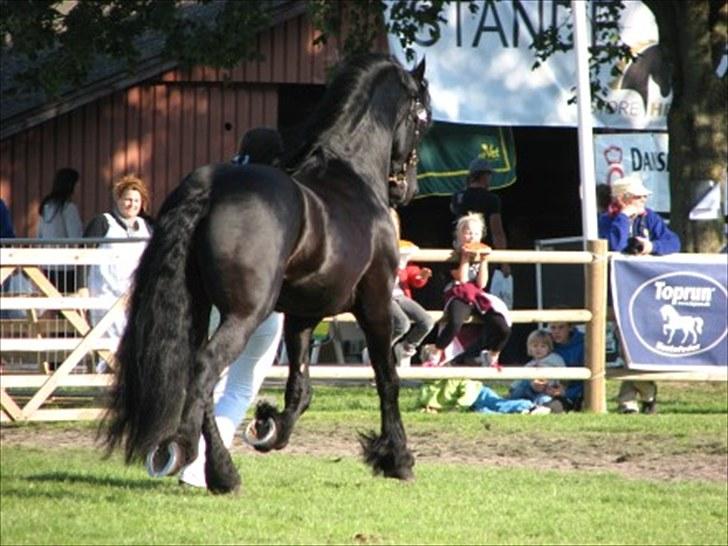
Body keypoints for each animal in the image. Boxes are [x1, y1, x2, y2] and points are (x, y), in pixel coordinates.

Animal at [103, 53, 432, 490]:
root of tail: (213, 187)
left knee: (201, 377)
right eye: (423, 119)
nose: (407, 189)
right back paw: (194, 457)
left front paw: (269, 427)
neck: (352, 175)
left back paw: (219, 471)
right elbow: (387, 378)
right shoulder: (375, 301)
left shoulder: (303, 314)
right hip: (246, 314)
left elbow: (300, 387)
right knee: (206, 369)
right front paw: (397, 458)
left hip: (200, 309)